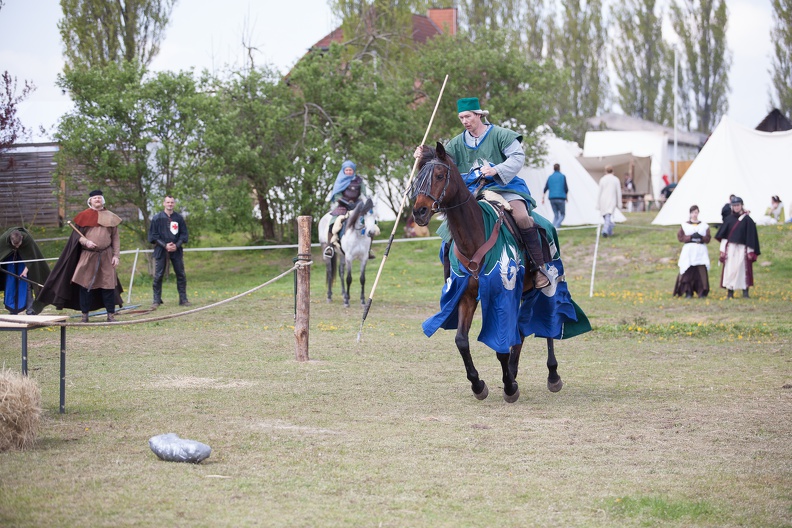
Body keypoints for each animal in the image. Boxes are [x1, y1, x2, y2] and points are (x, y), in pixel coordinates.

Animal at [412, 142, 580, 402]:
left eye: (439, 176)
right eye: (418, 177)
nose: (419, 211)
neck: (474, 237)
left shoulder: (502, 293)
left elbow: (501, 342)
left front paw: (509, 387)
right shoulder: (466, 295)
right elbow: (461, 340)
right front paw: (478, 384)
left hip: (549, 281)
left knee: (548, 324)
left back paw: (552, 375)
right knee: (520, 331)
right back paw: (513, 371)